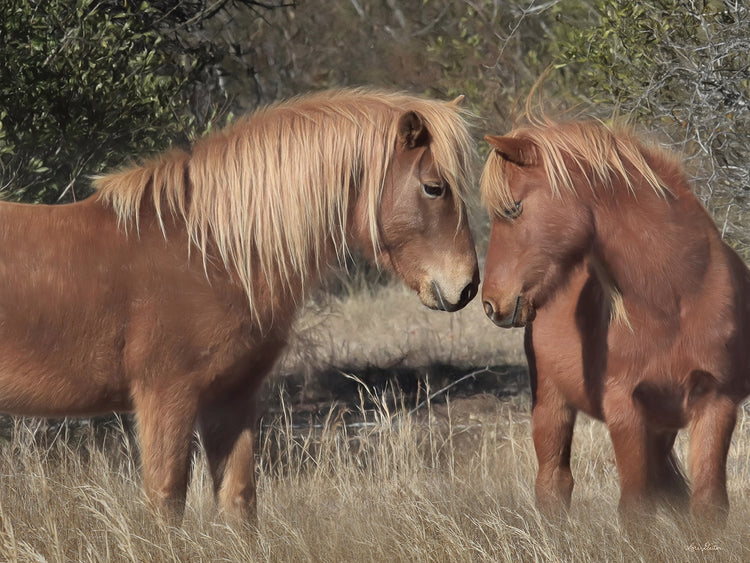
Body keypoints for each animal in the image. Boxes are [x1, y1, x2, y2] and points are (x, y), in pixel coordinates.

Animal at [0, 88, 479, 524]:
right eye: (433, 188)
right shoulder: (165, 397)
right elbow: (166, 501)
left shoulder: (232, 397)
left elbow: (240, 501)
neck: (209, 252)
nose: (468, 286)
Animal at [479, 117, 750, 525]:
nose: (491, 303)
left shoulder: (715, 402)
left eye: (513, 209)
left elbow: (707, 505)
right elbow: (636, 509)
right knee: (553, 483)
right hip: (551, 403)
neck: (676, 298)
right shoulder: (624, 407)